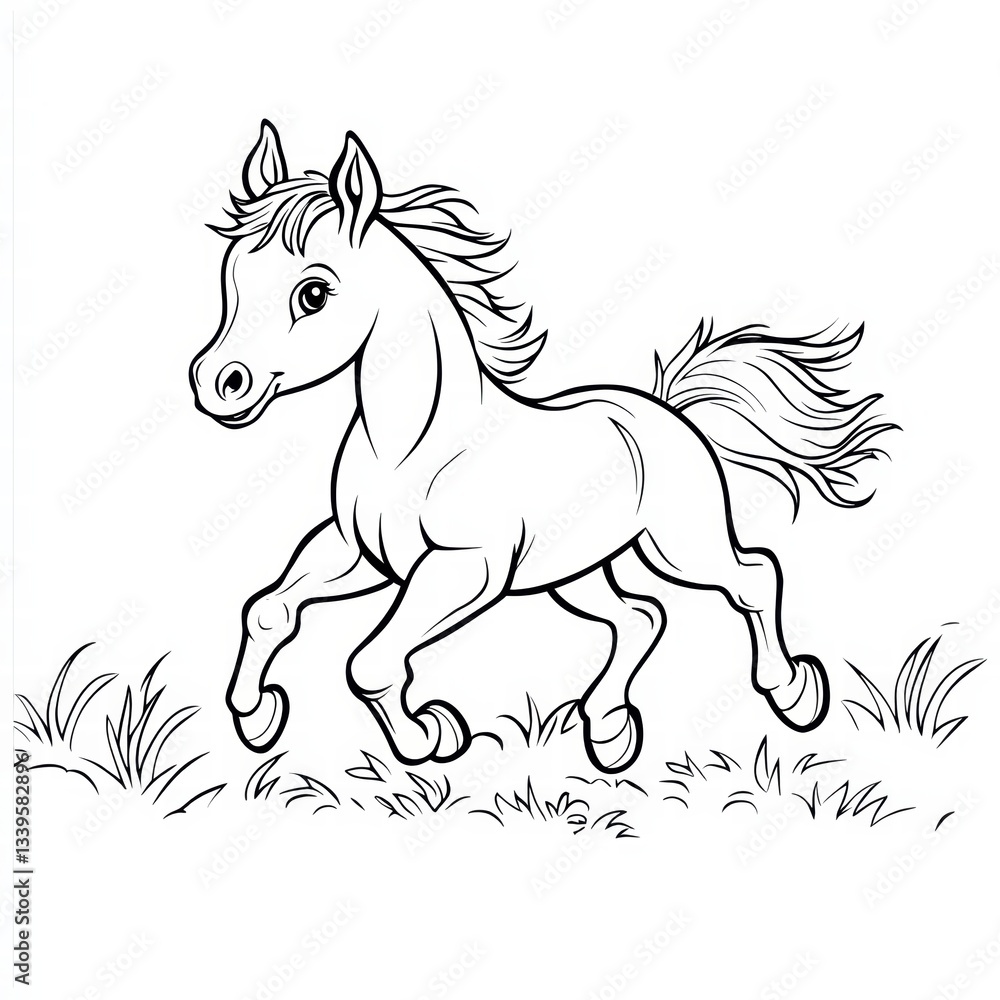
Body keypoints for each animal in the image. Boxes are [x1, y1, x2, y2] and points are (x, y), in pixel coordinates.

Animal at [189, 121, 894, 773]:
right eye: (230, 278)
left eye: (314, 293)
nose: (218, 384)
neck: (416, 449)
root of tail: (666, 410)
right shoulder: (362, 554)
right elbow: (268, 610)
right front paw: (258, 718)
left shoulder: (467, 568)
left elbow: (369, 662)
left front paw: (431, 735)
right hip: (578, 571)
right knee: (640, 618)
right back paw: (609, 732)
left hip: (680, 543)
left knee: (751, 578)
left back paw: (795, 694)